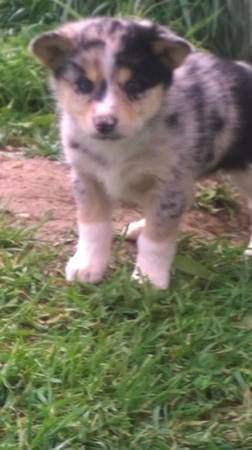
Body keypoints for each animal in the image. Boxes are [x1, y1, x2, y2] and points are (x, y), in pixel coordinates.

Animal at [31, 17, 252, 288]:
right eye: (83, 84)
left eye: (134, 84)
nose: (105, 123)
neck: (117, 146)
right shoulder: (87, 176)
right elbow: (93, 226)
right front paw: (88, 267)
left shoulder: (169, 182)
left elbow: (156, 239)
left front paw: (147, 280)